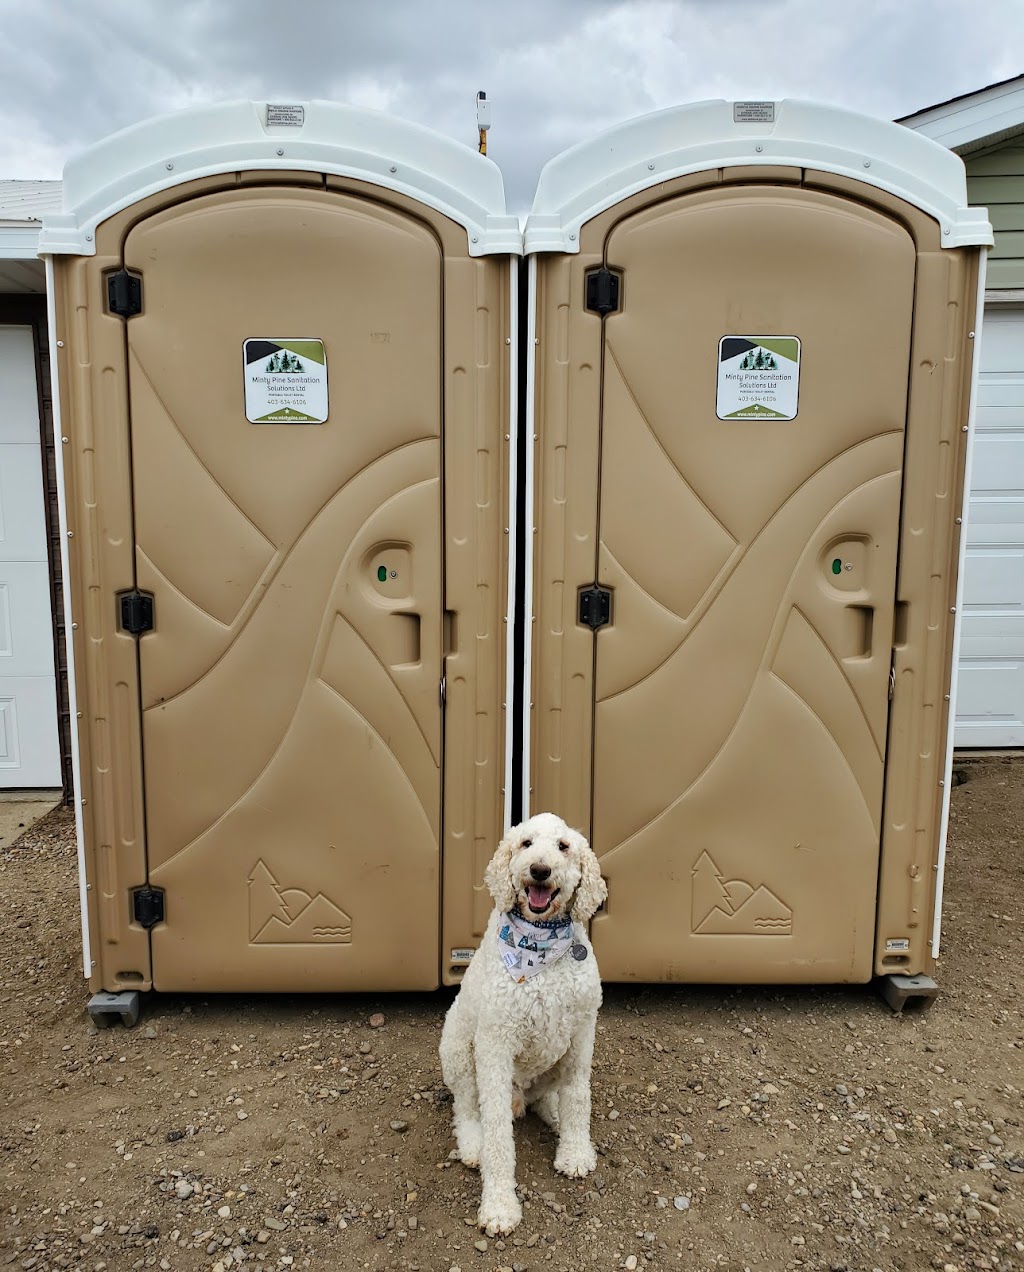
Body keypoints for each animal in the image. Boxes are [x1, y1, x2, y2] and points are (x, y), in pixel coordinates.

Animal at [440, 808, 608, 1236]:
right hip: (458, 1051)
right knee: (467, 1108)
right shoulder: (495, 1044)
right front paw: (499, 1207)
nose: (540, 870)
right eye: (525, 843)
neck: (539, 945)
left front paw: (575, 1151)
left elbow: (578, 1097)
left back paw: (555, 1115)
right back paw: (473, 1145)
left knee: (548, 1097)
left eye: (563, 846)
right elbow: (498, 1133)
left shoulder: (581, 1033)